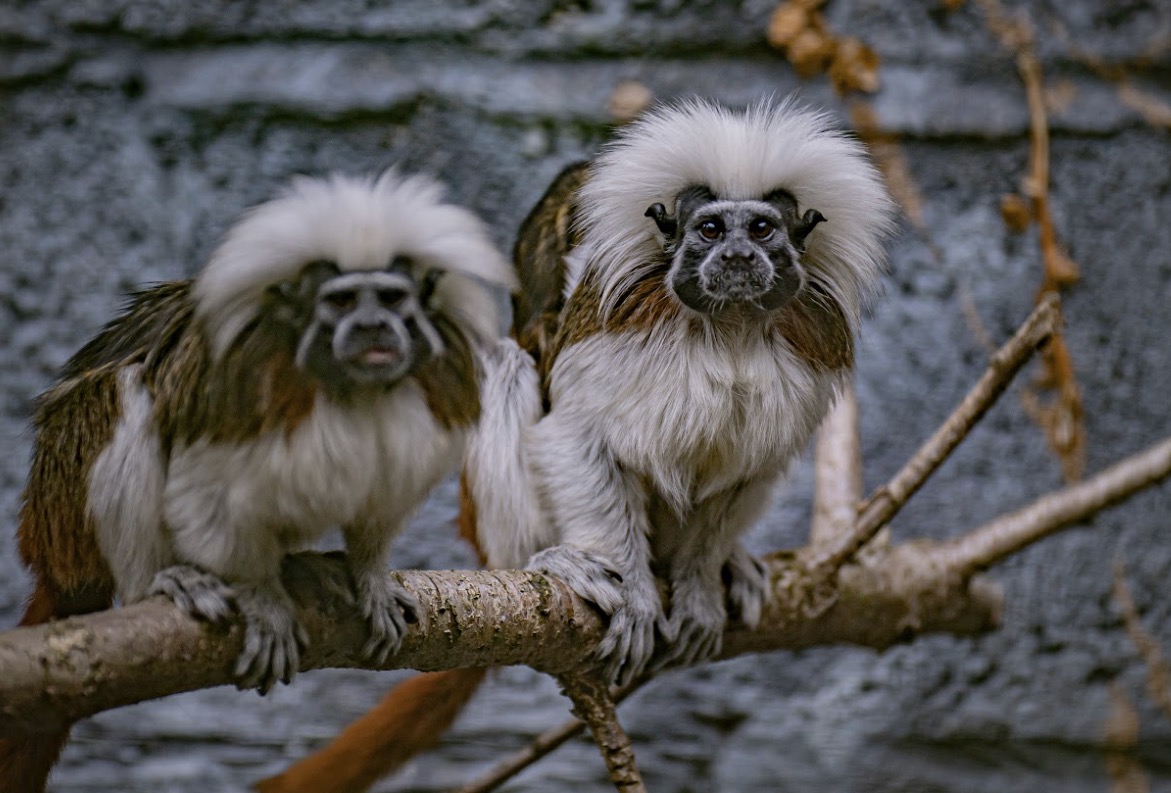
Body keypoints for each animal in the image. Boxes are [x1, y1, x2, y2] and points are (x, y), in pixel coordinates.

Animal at [0, 168, 512, 791]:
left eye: (392, 298)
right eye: (341, 301)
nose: (372, 327)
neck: (353, 390)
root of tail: (48, 553)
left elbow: (379, 506)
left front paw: (367, 575)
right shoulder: (237, 395)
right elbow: (207, 497)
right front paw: (262, 599)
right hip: (64, 508)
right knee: (122, 391)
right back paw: (162, 579)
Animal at [258, 98, 894, 791]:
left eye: (761, 228)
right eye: (708, 230)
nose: (736, 257)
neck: (729, 330)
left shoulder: (808, 354)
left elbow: (751, 472)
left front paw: (701, 582)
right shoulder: (614, 331)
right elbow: (575, 436)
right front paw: (638, 596)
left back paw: (730, 565)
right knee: (505, 365)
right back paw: (545, 559)